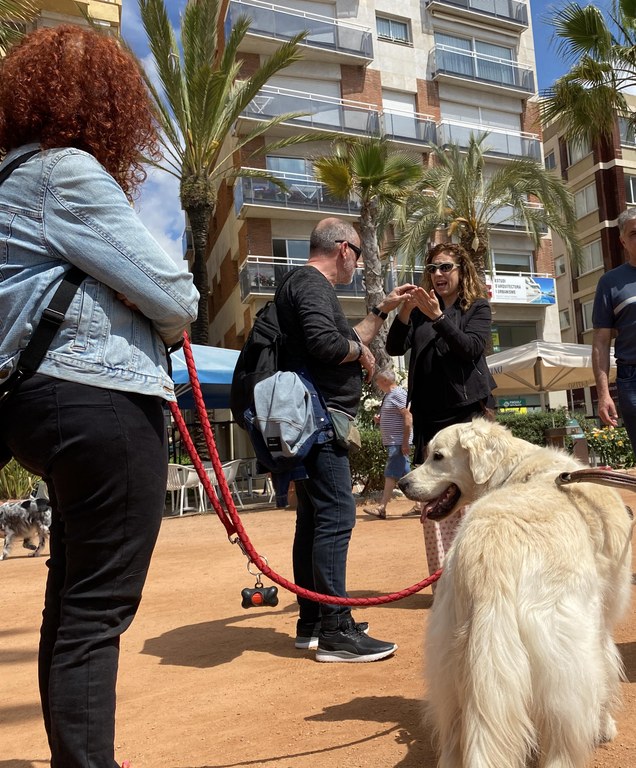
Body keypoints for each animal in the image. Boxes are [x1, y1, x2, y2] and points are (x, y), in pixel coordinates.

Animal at [398, 416, 632, 768]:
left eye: (436, 457)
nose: (402, 483)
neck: (517, 469)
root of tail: (488, 557)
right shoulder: (601, 621)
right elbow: (607, 668)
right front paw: (606, 728)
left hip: (453, 659)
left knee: (454, 738)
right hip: (565, 658)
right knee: (562, 742)